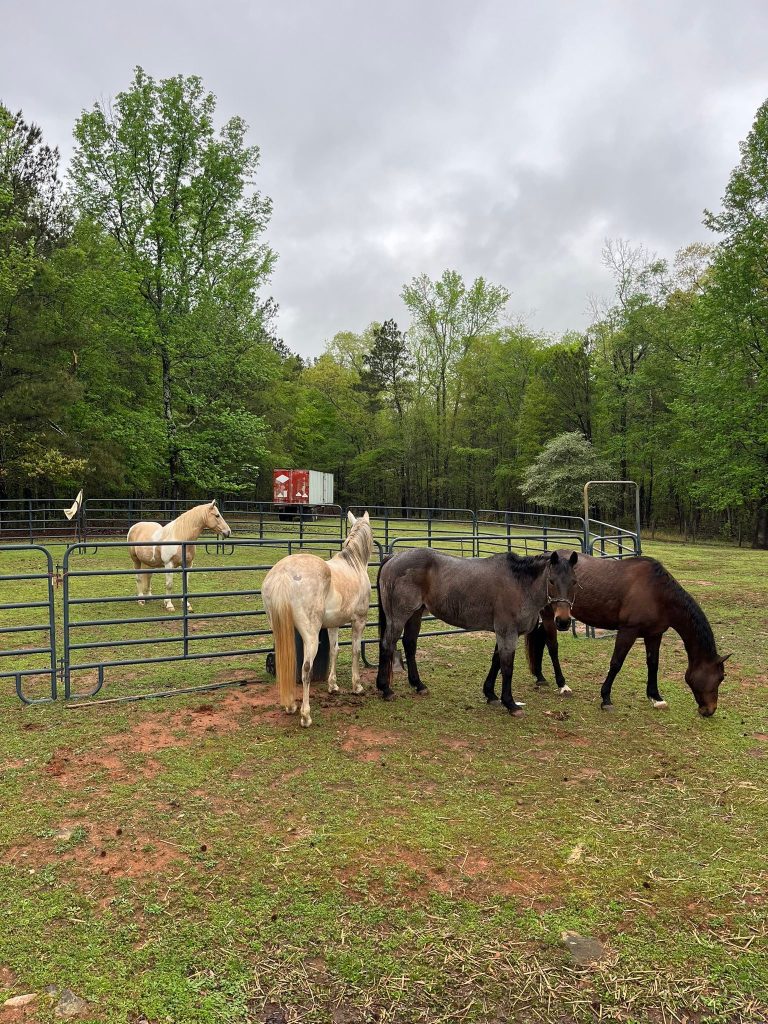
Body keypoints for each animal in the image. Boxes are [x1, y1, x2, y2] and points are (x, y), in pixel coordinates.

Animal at [262, 511, 373, 728]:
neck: (353, 564)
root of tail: (284, 574)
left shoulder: (333, 625)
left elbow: (334, 650)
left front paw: (333, 685)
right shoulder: (359, 621)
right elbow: (355, 651)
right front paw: (357, 686)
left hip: (281, 632)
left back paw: (290, 706)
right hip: (310, 636)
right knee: (305, 670)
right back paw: (305, 716)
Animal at [375, 548, 579, 716]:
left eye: (574, 583)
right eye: (551, 581)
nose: (563, 621)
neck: (519, 584)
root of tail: (394, 557)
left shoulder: (502, 632)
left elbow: (496, 662)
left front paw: (491, 694)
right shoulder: (507, 632)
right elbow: (507, 667)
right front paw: (510, 703)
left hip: (415, 614)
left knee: (409, 644)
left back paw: (418, 685)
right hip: (399, 616)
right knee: (387, 645)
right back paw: (386, 689)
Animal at [501, 550, 729, 716]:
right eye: (719, 677)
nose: (709, 710)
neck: (658, 593)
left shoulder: (654, 634)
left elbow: (653, 664)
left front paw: (656, 697)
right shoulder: (628, 631)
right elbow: (616, 663)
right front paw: (606, 698)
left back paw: (540, 677)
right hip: (552, 616)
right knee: (552, 646)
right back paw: (562, 685)